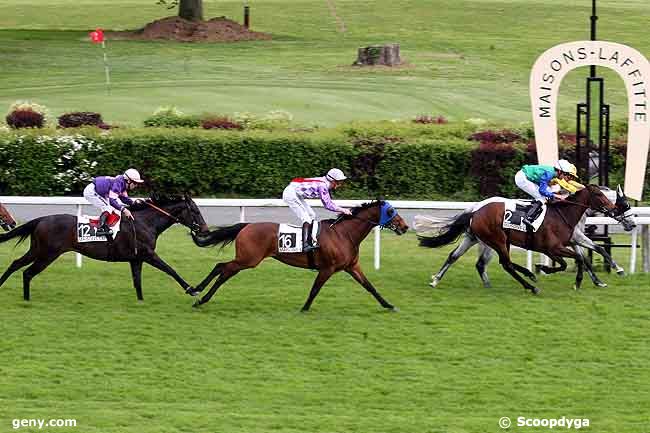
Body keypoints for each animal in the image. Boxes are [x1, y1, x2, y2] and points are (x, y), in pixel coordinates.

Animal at [0, 195, 208, 300]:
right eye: (196, 211)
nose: (205, 230)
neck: (145, 222)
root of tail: (41, 219)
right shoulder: (148, 254)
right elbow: (170, 270)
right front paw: (192, 289)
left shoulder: (136, 258)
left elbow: (137, 282)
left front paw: (140, 301)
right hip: (47, 254)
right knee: (27, 273)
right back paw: (27, 299)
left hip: (37, 250)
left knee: (16, 264)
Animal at [187, 199, 408, 310]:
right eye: (391, 212)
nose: (405, 227)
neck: (344, 234)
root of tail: (246, 225)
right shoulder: (328, 269)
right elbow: (315, 289)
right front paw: (304, 308)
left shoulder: (351, 266)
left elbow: (370, 287)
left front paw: (388, 305)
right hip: (248, 259)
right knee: (224, 269)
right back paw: (200, 296)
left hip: (245, 259)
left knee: (221, 268)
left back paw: (197, 292)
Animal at [416, 186, 632, 294]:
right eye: (600, 196)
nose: (631, 224)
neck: (564, 213)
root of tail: (475, 211)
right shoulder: (553, 248)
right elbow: (576, 260)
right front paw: (549, 271)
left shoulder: (569, 241)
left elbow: (586, 256)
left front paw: (597, 280)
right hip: (497, 240)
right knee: (505, 264)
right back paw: (531, 284)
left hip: (476, 238)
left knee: (456, 256)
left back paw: (436, 280)